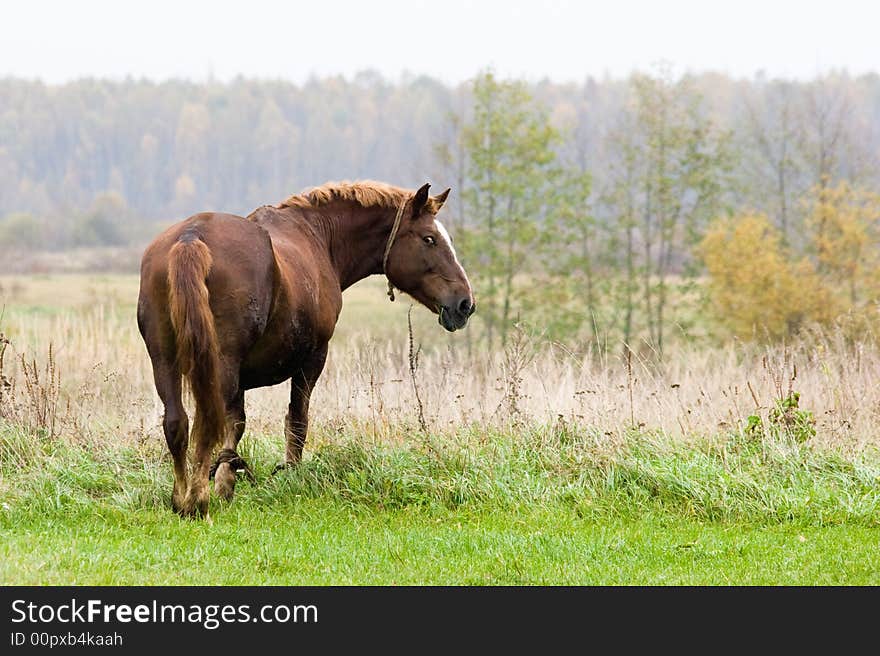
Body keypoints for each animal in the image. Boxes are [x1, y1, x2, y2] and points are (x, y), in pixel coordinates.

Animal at [137, 179, 474, 516]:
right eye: (429, 239)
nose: (465, 303)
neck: (318, 235)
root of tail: (191, 238)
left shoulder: (238, 380)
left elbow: (238, 423)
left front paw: (226, 480)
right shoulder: (312, 359)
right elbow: (297, 420)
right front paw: (285, 476)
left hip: (164, 362)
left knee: (177, 424)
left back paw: (181, 497)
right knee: (206, 425)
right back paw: (197, 498)